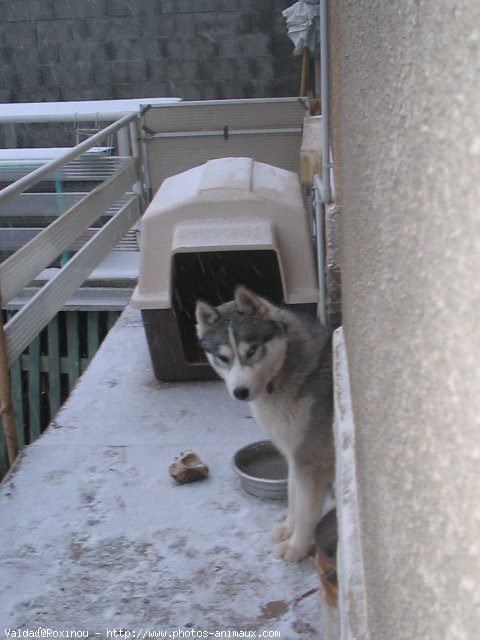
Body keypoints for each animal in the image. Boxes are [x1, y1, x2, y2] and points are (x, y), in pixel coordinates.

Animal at [195, 286, 334, 560]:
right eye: (223, 358)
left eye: (251, 351)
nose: (240, 392)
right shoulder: (293, 453)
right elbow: (293, 496)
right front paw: (289, 529)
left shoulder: (309, 460)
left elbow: (305, 511)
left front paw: (297, 547)